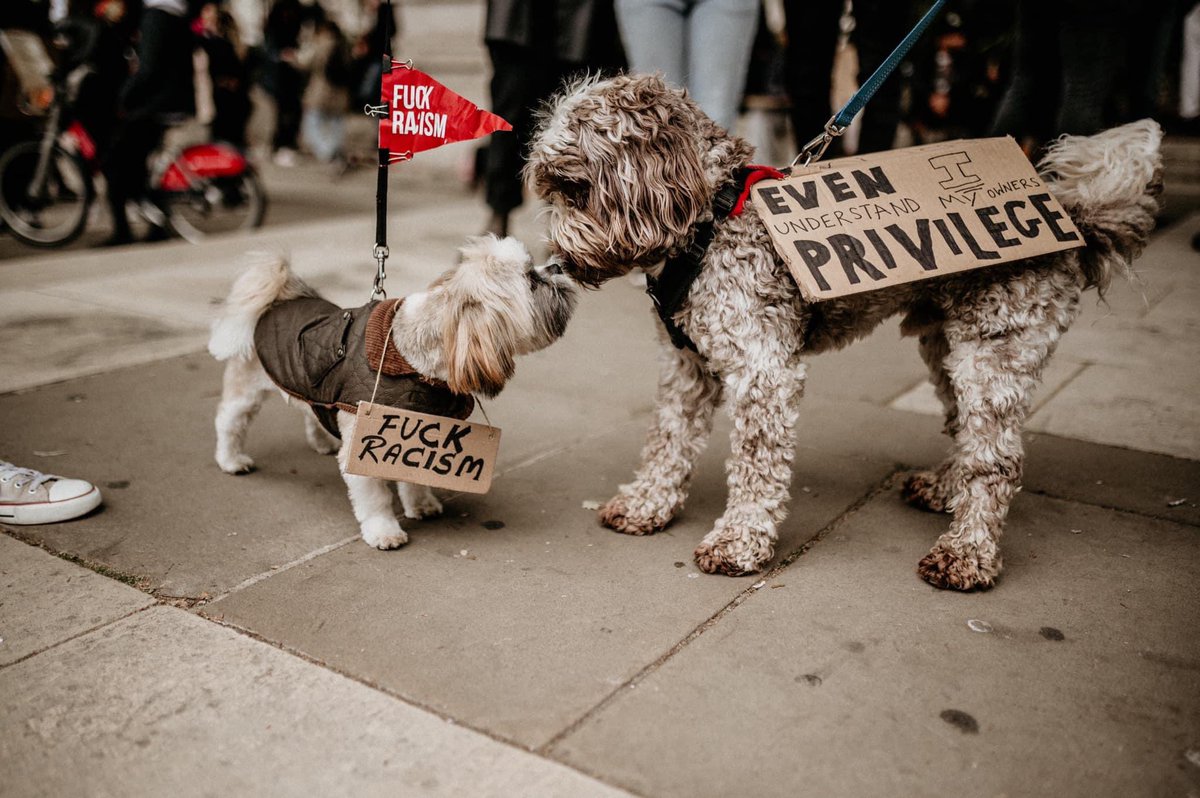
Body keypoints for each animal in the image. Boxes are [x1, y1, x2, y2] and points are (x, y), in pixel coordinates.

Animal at [208, 234, 578, 552]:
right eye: (530, 279)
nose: (557, 267)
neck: (413, 358)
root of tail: (277, 298)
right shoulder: (367, 441)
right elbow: (375, 497)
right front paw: (384, 531)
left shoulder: (419, 432)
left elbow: (413, 479)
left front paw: (422, 504)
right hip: (246, 388)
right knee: (230, 423)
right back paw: (231, 460)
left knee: (309, 411)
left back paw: (323, 441)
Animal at [528, 73, 1161, 585]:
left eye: (575, 187)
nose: (554, 260)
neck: (710, 222)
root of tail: (1072, 219)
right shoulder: (687, 364)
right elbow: (668, 439)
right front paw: (647, 505)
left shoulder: (763, 371)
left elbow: (755, 466)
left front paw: (737, 543)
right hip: (946, 346)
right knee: (964, 428)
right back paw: (944, 489)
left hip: (995, 349)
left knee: (997, 460)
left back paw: (967, 554)